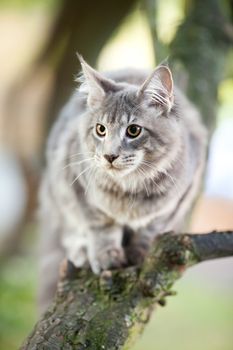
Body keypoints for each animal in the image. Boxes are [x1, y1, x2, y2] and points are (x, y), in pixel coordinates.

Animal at [38, 56, 208, 310]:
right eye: (101, 129)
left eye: (133, 130)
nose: (109, 156)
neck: (130, 189)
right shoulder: (75, 184)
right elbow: (100, 226)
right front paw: (106, 255)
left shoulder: (179, 197)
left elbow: (150, 229)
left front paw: (140, 252)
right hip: (55, 193)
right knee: (68, 232)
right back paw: (81, 251)